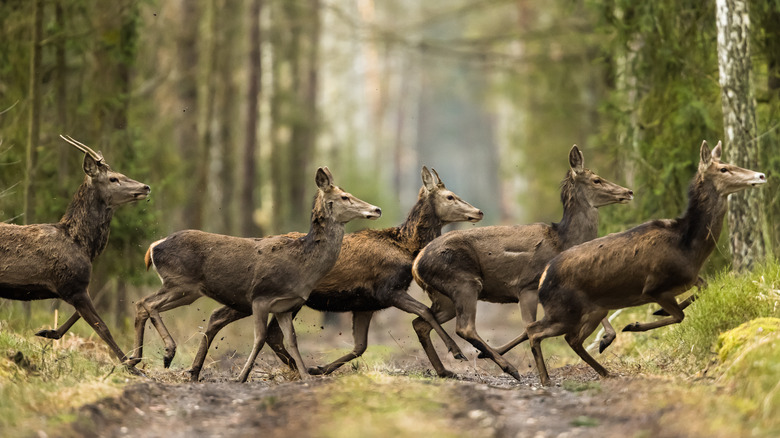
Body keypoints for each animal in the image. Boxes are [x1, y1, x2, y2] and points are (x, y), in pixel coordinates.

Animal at [0, 134, 151, 366]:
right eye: (113, 178)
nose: (145, 187)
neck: (84, 245)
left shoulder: (75, 287)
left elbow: (80, 317)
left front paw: (47, 332)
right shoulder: (72, 285)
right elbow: (102, 328)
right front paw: (131, 364)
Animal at [133, 166, 380, 382]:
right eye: (345, 197)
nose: (376, 209)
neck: (302, 266)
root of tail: (153, 246)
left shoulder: (284, 306)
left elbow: (291, 341)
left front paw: (306, 375)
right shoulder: (261, 297)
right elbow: (260, 338)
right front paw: (241, 377)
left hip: (187, 291)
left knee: (142, 305)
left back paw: (137, 360)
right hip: (179, 282)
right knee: (147, 302)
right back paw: (167, 352)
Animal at [185, 166, 482, 378]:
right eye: (450, 196)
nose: (478, 211)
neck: (406, 247)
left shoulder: (366, 304)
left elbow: (360, 347)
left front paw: (322, 368)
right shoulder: (387, 289)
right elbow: (425, 312)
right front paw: (455, 355)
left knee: (222, 317)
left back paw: (197, 370)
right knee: (263, 331)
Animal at [412, 145, 632, 380]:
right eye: (596, 180)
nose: (628, 191)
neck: (562, 241)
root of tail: (416, 265)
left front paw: (606, 339)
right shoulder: (527, 286)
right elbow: (529, 327)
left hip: (444, 296)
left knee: (421, 322)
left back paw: (445, 370)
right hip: (463, 282)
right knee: (464, 327)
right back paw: (508, 367)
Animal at [528, 140, 764, 384]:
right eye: (724, 169)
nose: (761, 175)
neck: (688, 247)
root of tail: (543, 276)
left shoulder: (690, 279)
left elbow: (703, 288)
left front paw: (657, 313)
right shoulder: (654, 287)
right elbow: (679, 315)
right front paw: (635, 325)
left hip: (594, 309)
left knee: (571, 339)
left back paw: (604, 370)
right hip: (565, 310)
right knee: (534, 331)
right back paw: (546, 379)